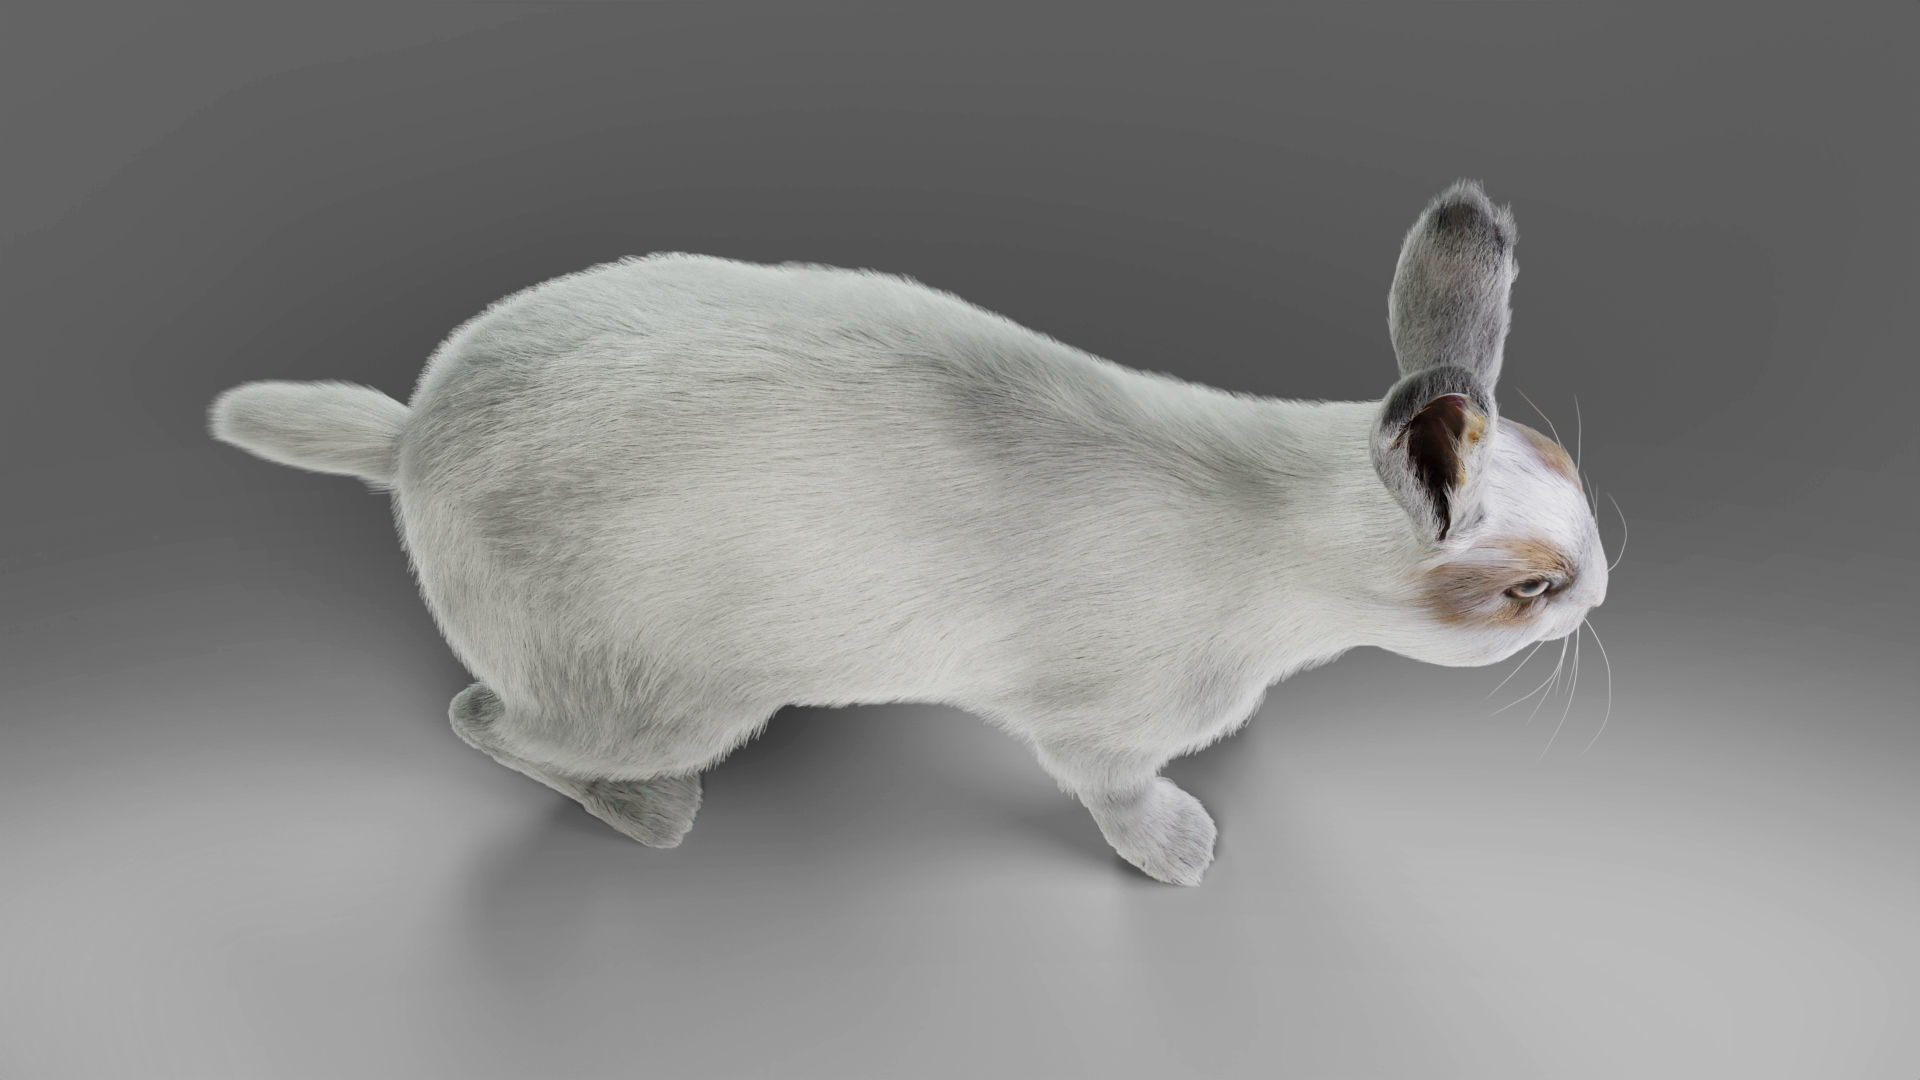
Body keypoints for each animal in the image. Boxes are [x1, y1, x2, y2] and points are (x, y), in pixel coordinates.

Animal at [208, 180, 1606, 886]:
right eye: (1530, 589)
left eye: (1574, 473)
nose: (1601, 590)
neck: (1283, 535)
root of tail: (406, 438)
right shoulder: (1094, 726)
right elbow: (1116, 792)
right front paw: (1183, 851)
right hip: (660, 700)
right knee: (480, 721)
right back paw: (652, 817)